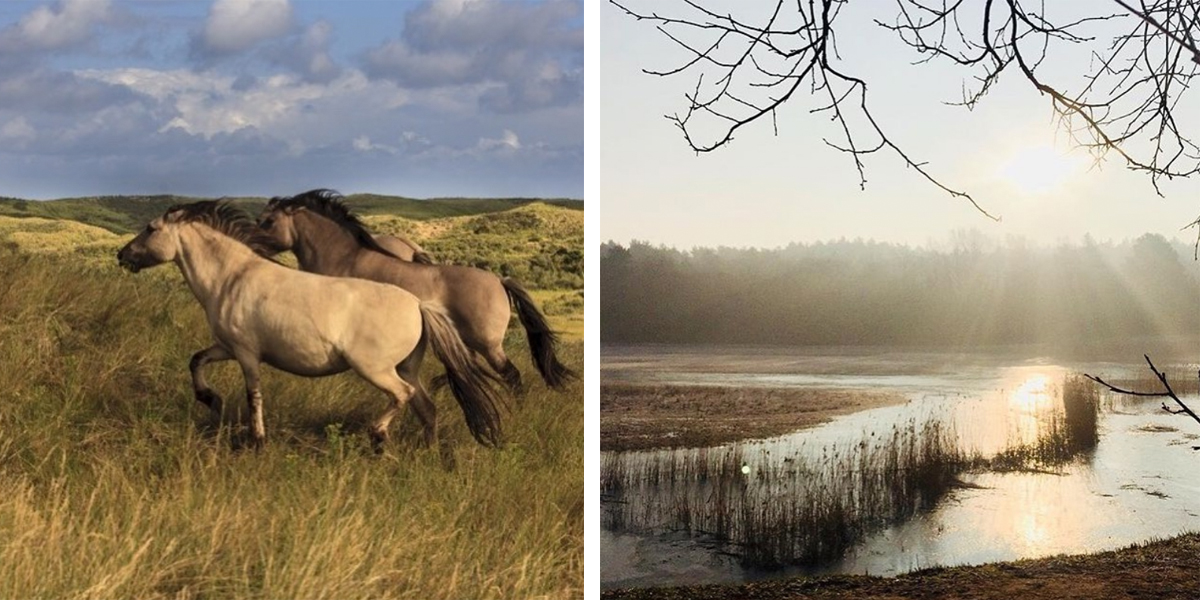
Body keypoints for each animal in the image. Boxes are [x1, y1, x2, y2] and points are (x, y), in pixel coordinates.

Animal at [114, 201, 504, 451]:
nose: (121, 255)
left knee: (402, 395)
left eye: (150, 228)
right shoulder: (225, 347)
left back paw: (378, 436)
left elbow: (253, 394)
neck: (231, 277)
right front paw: (210, 399)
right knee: (426, 407)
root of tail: (418, 305)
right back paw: (426, 453)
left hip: (376, 369)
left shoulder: (246, 353)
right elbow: (196, 361)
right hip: (407, 366)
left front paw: (257, 440)